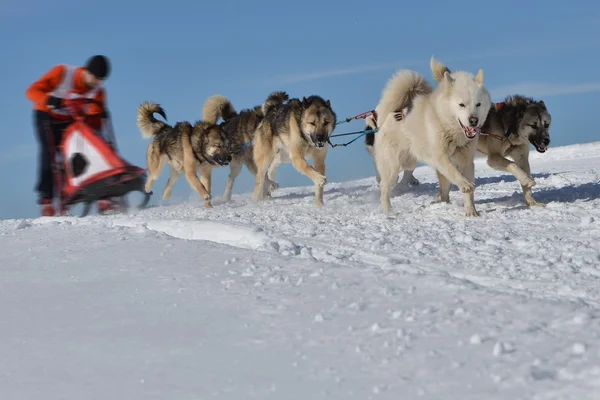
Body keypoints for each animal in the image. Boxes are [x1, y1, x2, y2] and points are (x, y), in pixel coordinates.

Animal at [376, 57, 492, 216]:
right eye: (461, 104)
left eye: (478, 104)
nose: (473, 120)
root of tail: (392, 114)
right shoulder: (440, 157)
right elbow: (453, 171)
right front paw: (465, 184)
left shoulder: (466, 162)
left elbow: (467, 192)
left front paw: (471, 212)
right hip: (392, 167)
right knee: (384, 187)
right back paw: (388, 210)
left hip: (410, 163)